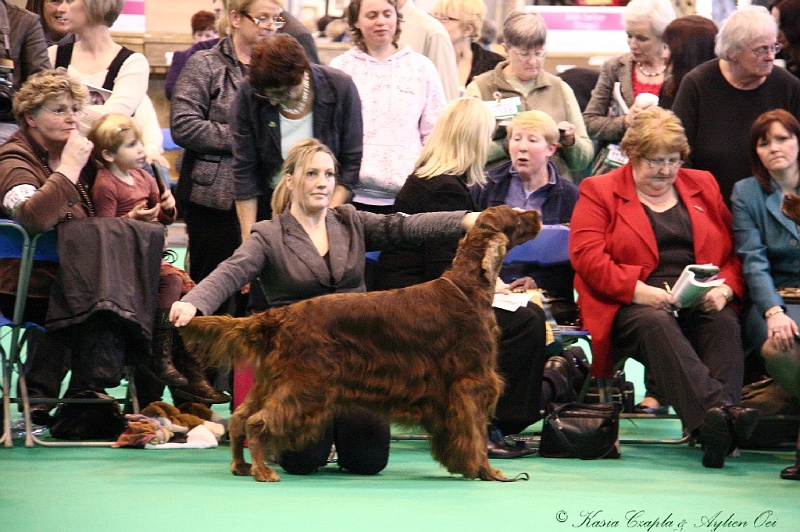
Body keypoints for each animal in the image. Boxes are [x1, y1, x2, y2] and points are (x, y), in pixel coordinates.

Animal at [180, 207, 544, 482]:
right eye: (516, 217)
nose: (537, 213)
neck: (467, 287)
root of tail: (280, 315)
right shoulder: (470, 384)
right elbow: (476, 435)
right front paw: (487, 471)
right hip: (306, 384)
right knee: (258, 422)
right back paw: (262, 471)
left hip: (273, 381)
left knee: (240, 418)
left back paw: (241, 465)